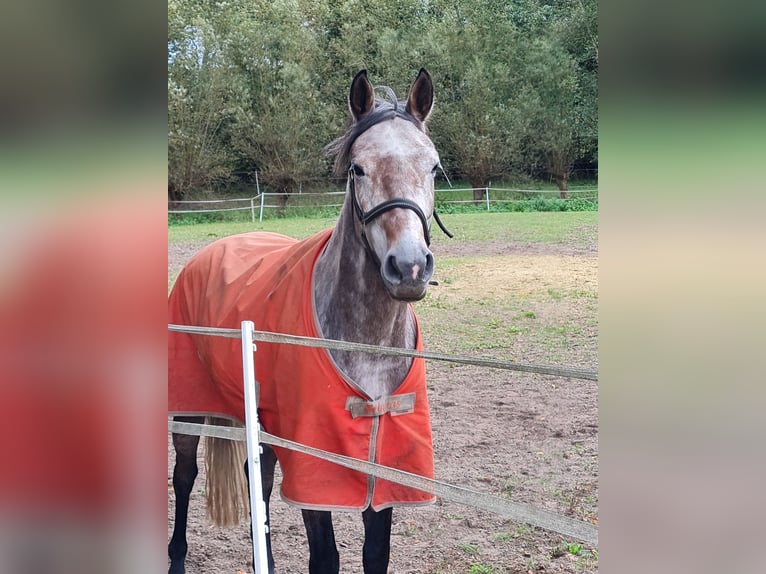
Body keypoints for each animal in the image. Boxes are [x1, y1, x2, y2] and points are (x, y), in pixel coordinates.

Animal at [168, 68, 449, 574]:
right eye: (358, 168)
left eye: (433, 168)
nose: (410, 267)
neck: (367, 346)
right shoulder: (314, 464)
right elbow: (326, 557)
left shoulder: (382, 463)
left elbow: (375, 554)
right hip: (188, 407)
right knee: (184, 475)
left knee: (255, 481)